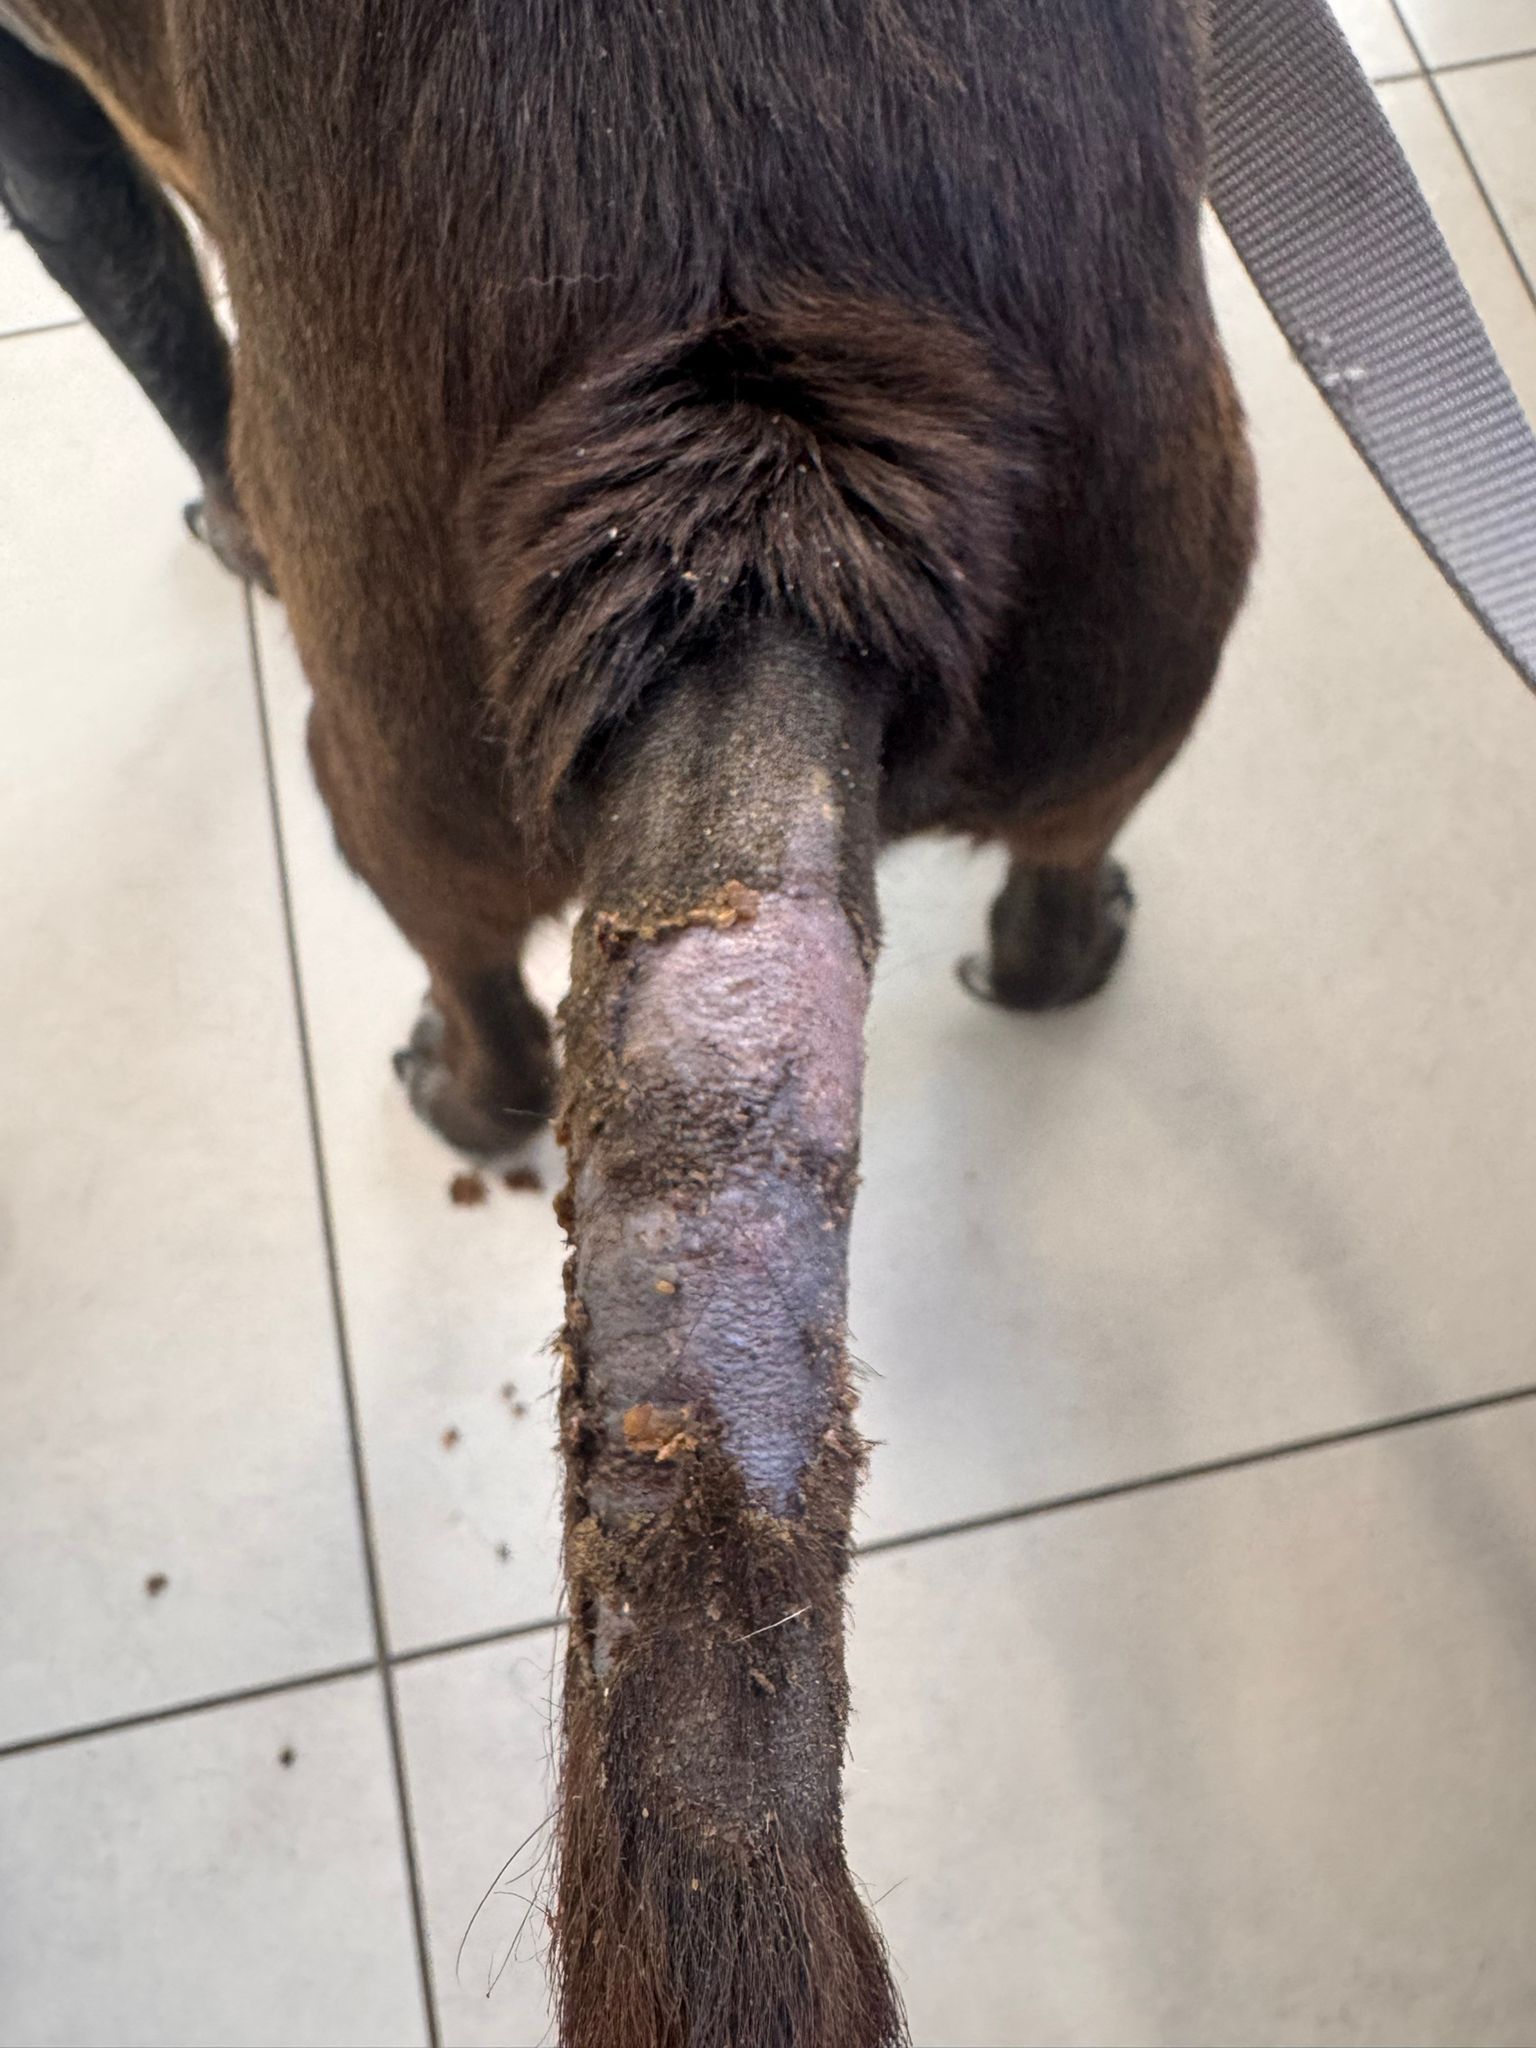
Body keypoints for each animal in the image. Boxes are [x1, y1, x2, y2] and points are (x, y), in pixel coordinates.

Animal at [0, 4, 1255, 2041]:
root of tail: (759, 467)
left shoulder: (47, 119)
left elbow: (165, 339)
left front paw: (215, 519)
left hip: (379, 748)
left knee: (474, 975)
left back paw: (462, 1084)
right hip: (1159, 592)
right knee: (1072, 847)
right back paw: (1058, 949)